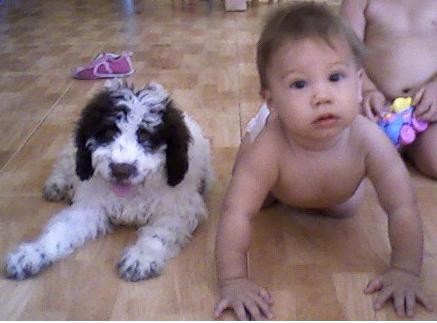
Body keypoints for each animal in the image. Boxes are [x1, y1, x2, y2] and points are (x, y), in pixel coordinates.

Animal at [4, 79, 214, 282]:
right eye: (108, 132)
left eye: (145, 135)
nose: (121, 169)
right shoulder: (90, 206)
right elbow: (61, 229)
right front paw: (31, 254)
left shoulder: (178, 209)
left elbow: (160, 233)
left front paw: (141, 257)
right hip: (75, 157)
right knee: (66, 162)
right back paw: (58, 185)